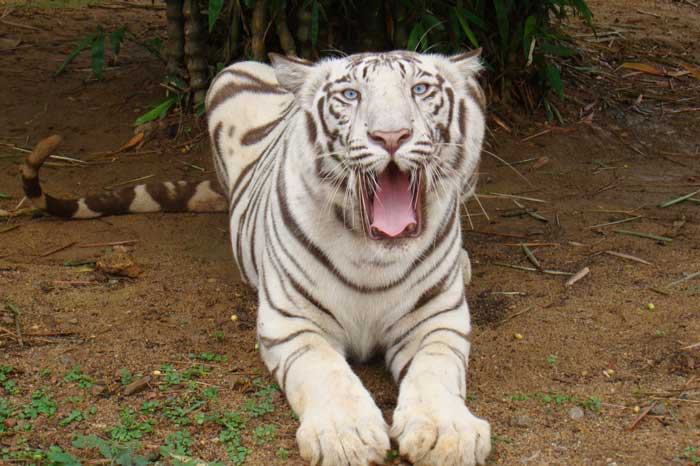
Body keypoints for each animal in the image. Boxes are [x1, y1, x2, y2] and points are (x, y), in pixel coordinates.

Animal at [21, 49, 490, 466]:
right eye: (351, 95)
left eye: (420, 89)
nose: (391, 136)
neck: (373, 253)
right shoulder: (293, 323)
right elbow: (326, 371)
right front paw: (347, 437)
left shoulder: (437, 320)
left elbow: (435, 370)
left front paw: (446, 434)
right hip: (226, 75)